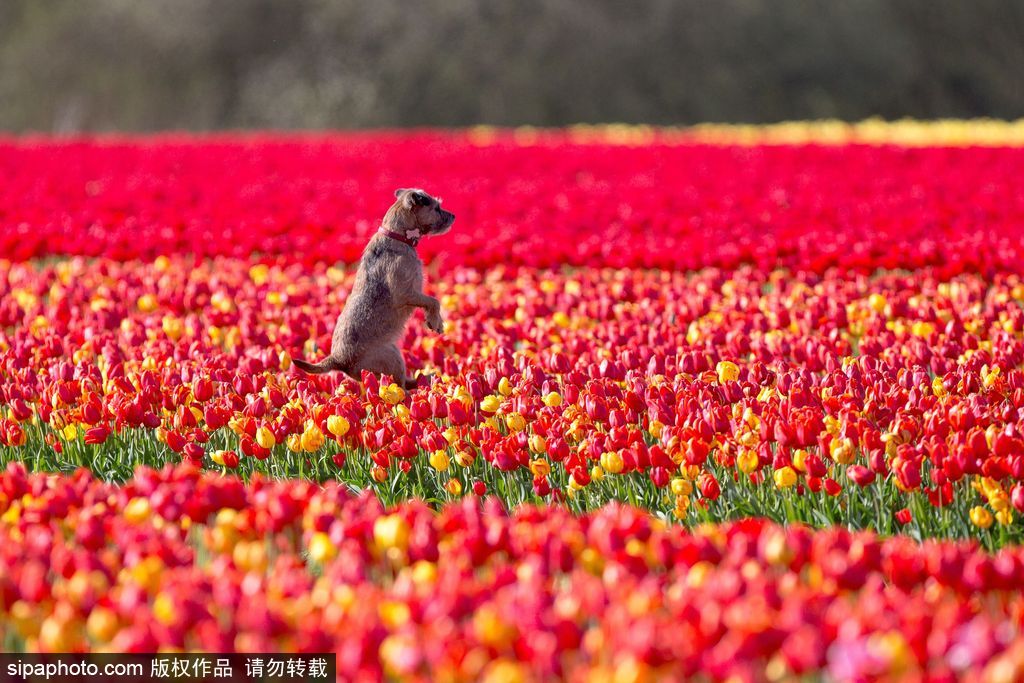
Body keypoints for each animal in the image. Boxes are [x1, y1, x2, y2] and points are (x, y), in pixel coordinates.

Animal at [294, 187, 458, 389]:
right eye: (436, 208)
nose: (453, 216)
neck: (398, 235)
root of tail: (337, 360)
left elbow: (430, 302)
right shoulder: (406, 293)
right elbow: (433, 301)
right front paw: (436, 322)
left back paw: (426, 378)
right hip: (394, 358)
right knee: (400, 387)